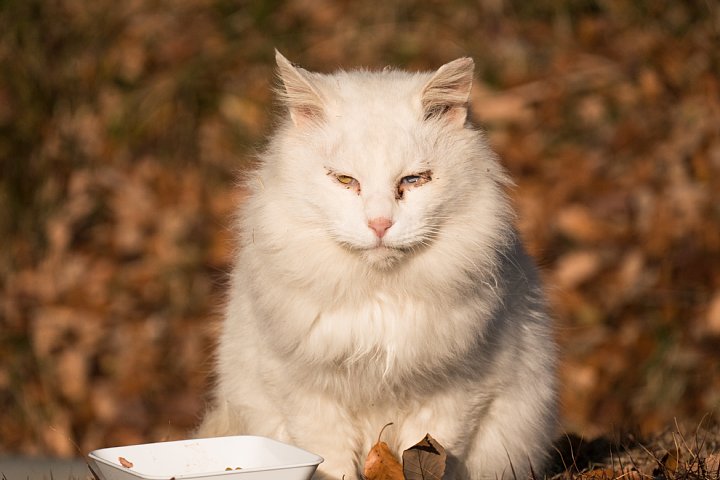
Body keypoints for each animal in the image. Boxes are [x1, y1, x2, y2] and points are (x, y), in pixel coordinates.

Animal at [200, 50, 560, 478]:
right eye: (345, 180)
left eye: (414, 180)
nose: (379, 224)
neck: (380, 297)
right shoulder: (308, 396)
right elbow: (333, 463)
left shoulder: (456, 392)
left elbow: (433, 457)